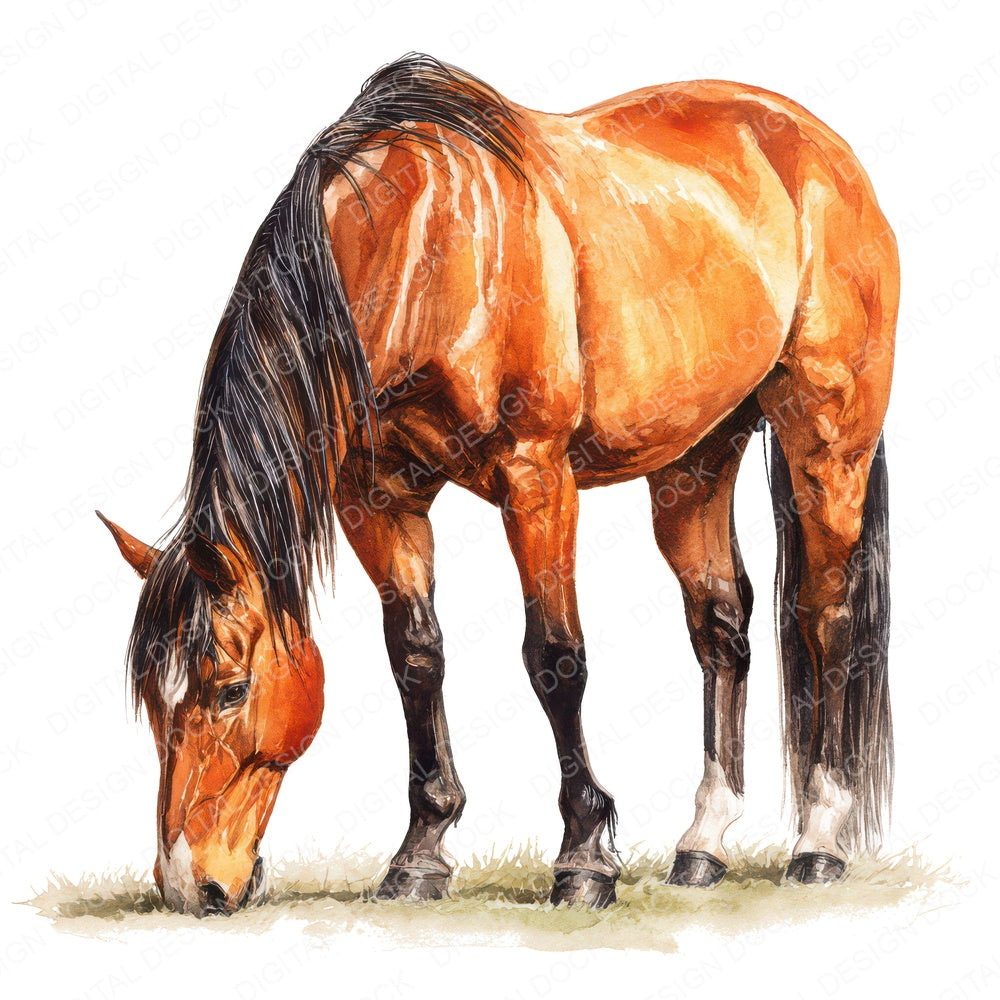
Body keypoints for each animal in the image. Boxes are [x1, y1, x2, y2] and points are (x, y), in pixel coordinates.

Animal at [99, 52, 897, 916]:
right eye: (151, 701)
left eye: (230, 689)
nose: (187, 885)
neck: (425, 242)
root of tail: (823, 147)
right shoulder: (378, 497)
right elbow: (415, 658)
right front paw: (420, 855)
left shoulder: (536, 476)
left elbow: (555, 659)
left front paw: (584, 857)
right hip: (696, 457)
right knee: (721, 623)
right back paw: (701, 847)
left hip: (828, 442)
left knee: (827, 616)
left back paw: (819, 841)